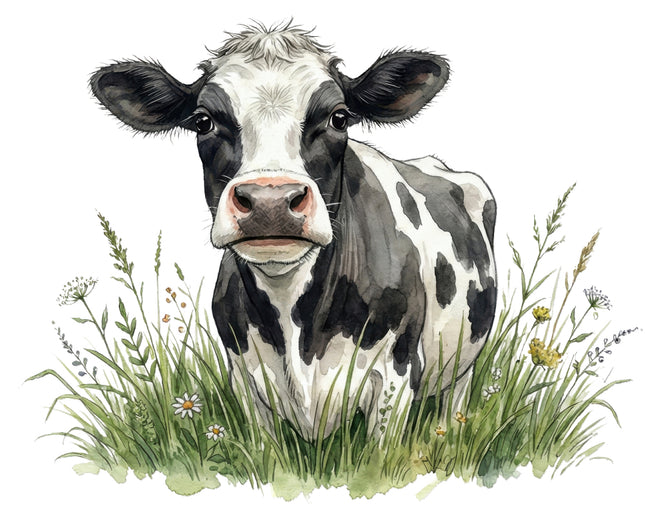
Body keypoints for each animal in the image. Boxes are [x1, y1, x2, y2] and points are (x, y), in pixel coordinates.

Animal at [90, 22, 496, 439]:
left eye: (339, 117)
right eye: (203, 121)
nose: (270, 201)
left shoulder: (396, 375)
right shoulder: (245, 379)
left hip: (464, 363)